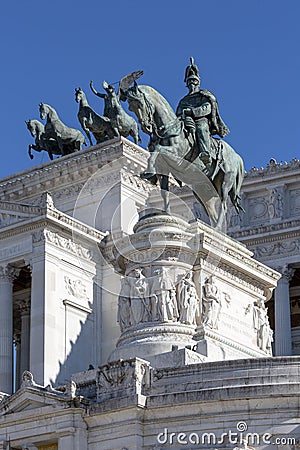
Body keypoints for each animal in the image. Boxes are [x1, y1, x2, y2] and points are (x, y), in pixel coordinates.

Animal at [125, 83, 245, 229]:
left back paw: (216, 228)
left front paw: (148, 172)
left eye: (139, 103)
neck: (170, 129)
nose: (146, 127)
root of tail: (237, 156)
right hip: (203, 189)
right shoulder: (163, 168)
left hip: (225, 181)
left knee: (223, 205)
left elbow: (157, 150)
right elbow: (164, 192)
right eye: (130, 107)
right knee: (211, 210)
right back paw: (214, 228)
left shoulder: (177, 155)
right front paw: (166, 212)